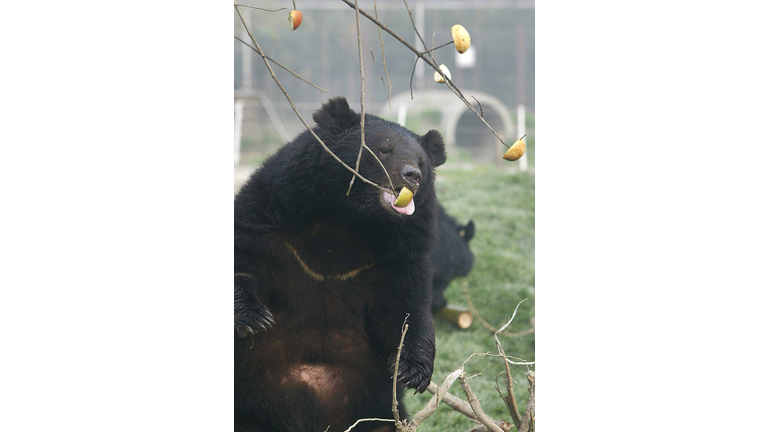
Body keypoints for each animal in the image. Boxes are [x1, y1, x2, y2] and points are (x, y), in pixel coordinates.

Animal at [234, 98, 444, 432]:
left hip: (375, 413)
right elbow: (244, 256)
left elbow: (405, 308)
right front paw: (255, 319)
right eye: (384, 150)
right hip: (250, 407)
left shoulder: (400, 254)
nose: (412, 175)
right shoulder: (273, 216)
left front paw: (413, 371)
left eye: (421, 161)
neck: (351, 219)